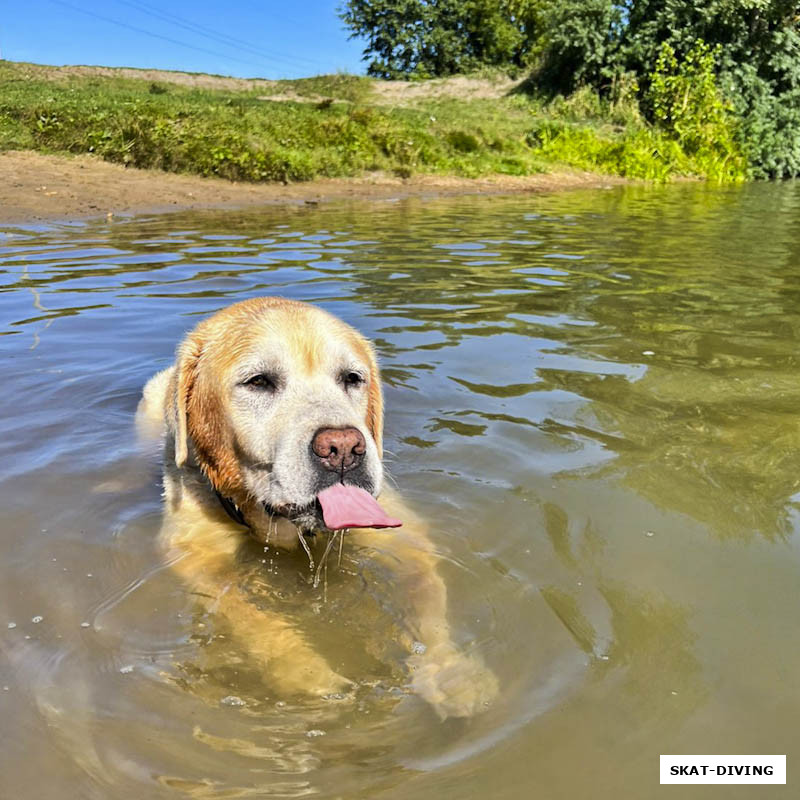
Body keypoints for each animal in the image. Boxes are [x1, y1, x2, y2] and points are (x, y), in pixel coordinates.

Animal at [138, 296, 500, 720]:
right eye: (258, 381)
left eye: (352, 378)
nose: (343, 448)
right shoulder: (193, 553)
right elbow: (254, 620)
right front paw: (311, 676)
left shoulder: (403, 535)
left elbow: (424, 591)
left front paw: (451, 671)